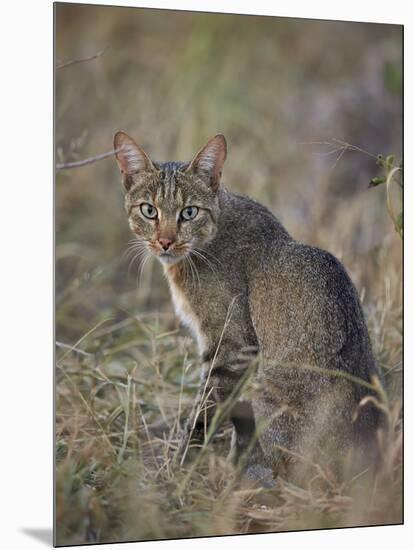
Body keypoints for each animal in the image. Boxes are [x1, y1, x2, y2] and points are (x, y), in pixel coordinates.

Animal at [112, 132, 382, 486]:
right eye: (148, 211)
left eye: (188, 212)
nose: (166, 241)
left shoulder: (231, 347)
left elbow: (204, 414)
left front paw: (181, 468)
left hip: (268, 392)